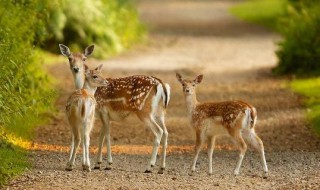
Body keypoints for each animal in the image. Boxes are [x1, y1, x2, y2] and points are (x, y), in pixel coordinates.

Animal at [59, 43, 171, 174]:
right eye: (69, 58)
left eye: (84, 58)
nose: (76, 68)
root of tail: (161, 84)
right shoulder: (103, 116)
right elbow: (101, 137)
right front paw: (97, 164)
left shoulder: (103, 111)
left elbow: (106, 136)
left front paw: (108, 164)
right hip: (160, 113)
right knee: (166, 132)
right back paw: (161, 168)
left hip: (144, 111)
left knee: (158, 132)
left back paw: (149, 166)